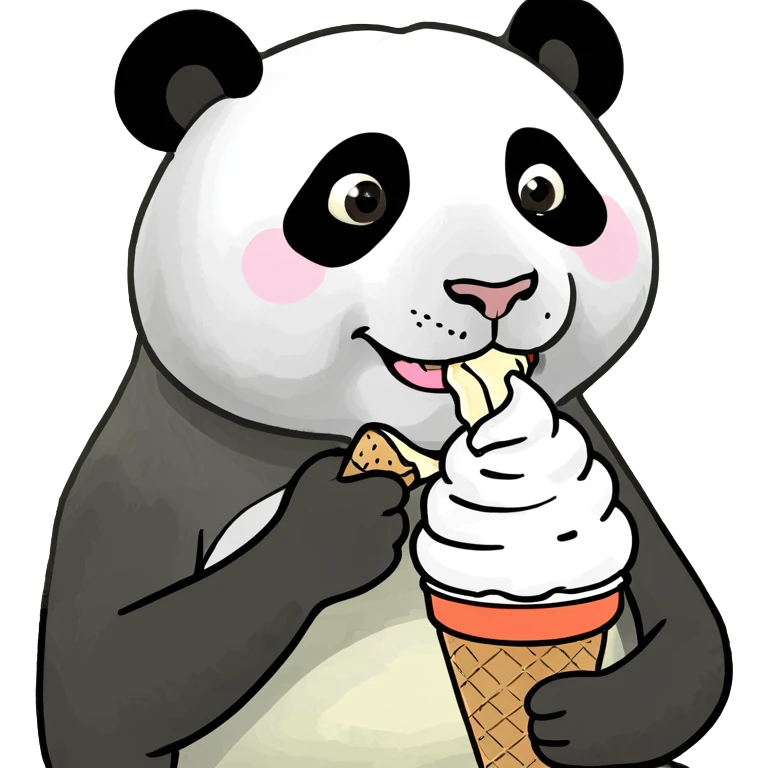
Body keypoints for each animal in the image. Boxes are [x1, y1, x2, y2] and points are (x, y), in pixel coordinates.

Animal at [35, 4, 732, 768]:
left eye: (543, 188)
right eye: (359, 199)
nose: (495, 290)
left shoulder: (596, 456)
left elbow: (687, 638)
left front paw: (577, 715)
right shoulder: (152, 479)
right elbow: (110, 683)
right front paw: (332, 526)